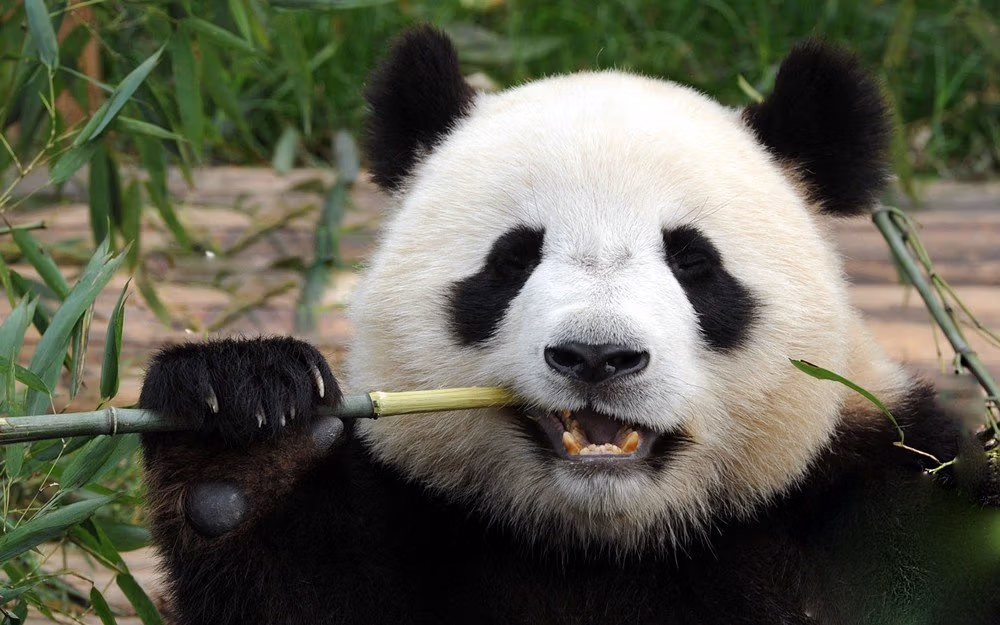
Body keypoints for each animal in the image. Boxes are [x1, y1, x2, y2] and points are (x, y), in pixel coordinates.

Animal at [138, 26, 1000, 625]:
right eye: (513, 259)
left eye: (694, 262)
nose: (596, 356)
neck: (608, 542)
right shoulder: (420, 525)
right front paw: (244, 422)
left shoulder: (878, 505)